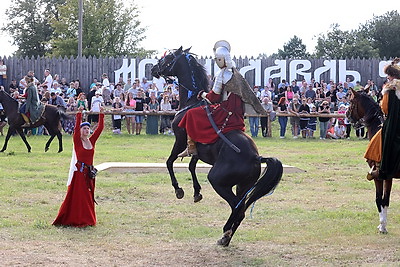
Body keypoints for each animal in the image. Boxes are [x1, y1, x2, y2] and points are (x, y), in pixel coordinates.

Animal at [151, 46, 284, 247]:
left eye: (168, 58)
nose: (153, 69)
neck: (192, 102)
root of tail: (256, 157)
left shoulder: (180, 139)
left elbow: (169, 162)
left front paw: (179, 190)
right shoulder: (197, 150)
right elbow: (191, 166)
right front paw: (197, 192)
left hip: (218, 181)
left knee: (238, 208)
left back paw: (225, 233)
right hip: (243, 186)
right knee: (240, 208)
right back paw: (225, 237)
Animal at [346, 89, 394, 233]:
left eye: (351, 101)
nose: (346, 114)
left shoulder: (378, 176)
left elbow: (379, 199)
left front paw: (382, 226)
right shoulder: (388, 177)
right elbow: (386, 200)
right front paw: (382, 224)